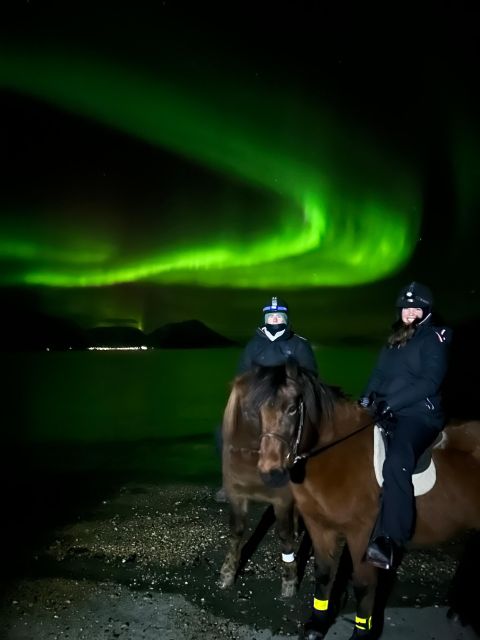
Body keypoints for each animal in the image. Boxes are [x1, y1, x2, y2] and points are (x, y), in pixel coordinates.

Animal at [219, 368, 302, 596]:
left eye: (293, 408)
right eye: (252, 409)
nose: (272, 464)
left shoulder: (282, 500)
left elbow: (284, 535)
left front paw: (289, 581)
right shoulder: (237, 496)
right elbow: (237, 531)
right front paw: (227, 574)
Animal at [246, 362, 480, 636]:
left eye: (292, 408)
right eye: (260, 410)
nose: (269, 473)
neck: (335, 454)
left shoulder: (362, 535)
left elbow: (363, 585)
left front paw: (362, 632)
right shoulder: (319, 526)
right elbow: (324, 574)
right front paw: (317, 624)